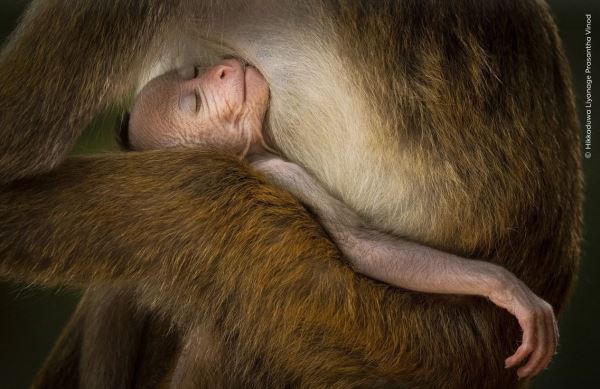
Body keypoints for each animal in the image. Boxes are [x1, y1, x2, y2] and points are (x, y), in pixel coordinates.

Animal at [122, 56, 556, 376]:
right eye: (194, 104)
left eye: (194, 73)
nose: (223, 69)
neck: (253, 154)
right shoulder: (286, 173)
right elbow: (360, 247)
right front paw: (504, 287)